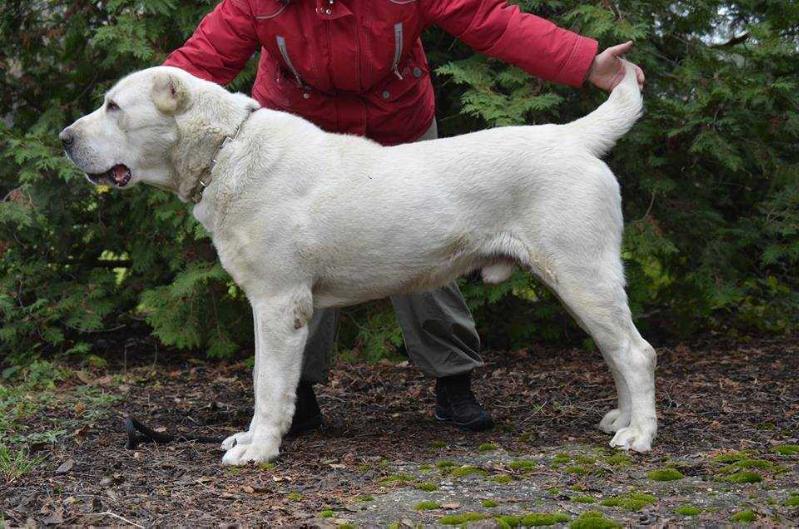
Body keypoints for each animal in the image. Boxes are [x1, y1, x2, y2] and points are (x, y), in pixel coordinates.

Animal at [61, 62, 656, 464]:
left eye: (114, 107)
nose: (64, 139)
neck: (225, 151)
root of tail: (570, 137)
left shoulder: (278, 304)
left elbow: (267, 382)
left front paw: (259, 447)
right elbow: (273, 379)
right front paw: (255, 437)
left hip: (582, 276)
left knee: (637, 353)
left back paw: (639, 435)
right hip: (581, 283)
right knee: (615, 352)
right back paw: (621, 420)